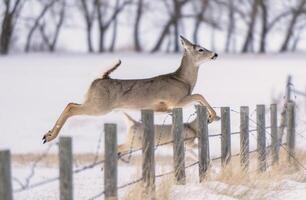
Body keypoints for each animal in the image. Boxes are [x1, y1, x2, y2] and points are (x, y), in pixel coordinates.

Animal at [43, 35, 220, 142]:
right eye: (200, 49)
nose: (215, 54)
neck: (183, 80)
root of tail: (100, 78)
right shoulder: (175, 100)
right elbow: (199, 95)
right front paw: (214, 116)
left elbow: (198, 98)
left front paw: (212, 117)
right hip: (99, 106)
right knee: (71, 107)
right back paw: (49, 136)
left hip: (94, 102)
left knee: (71, 103)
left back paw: (48, 134)